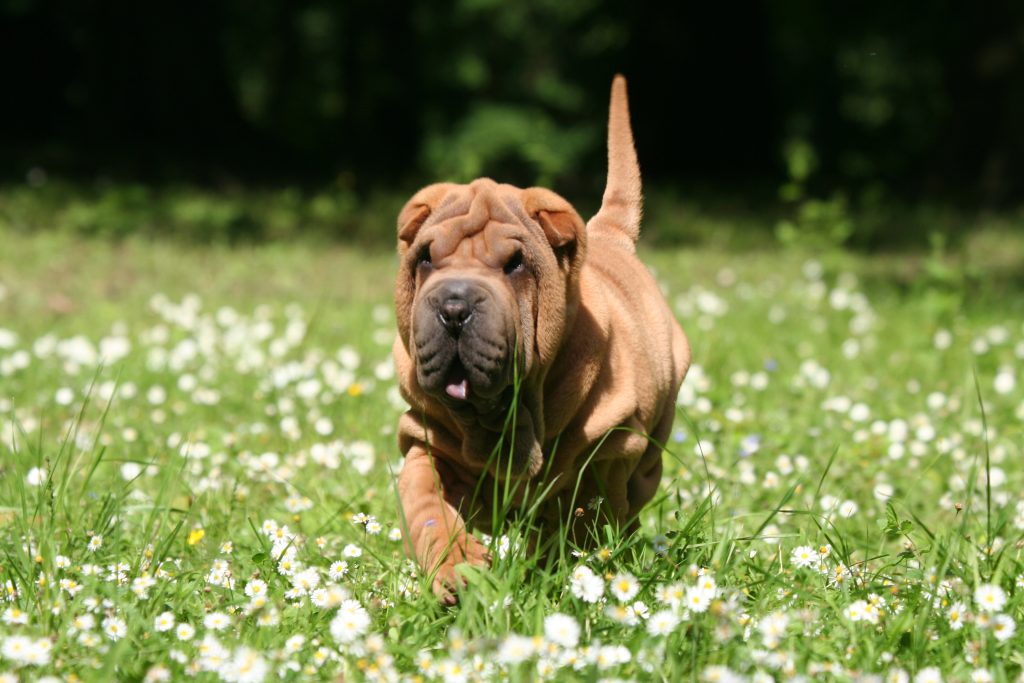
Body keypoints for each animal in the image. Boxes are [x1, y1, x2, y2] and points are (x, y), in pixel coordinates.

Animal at [391, 74, 688, 602]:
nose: (454, 307)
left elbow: (576, 515)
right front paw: (458, 568)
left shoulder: (607, 451)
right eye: (425, 258)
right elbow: (425, 500)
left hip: (653, 439)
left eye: (515, 265)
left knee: (630, 498)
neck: (502, 419)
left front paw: (553, 574)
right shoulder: (424, 438)